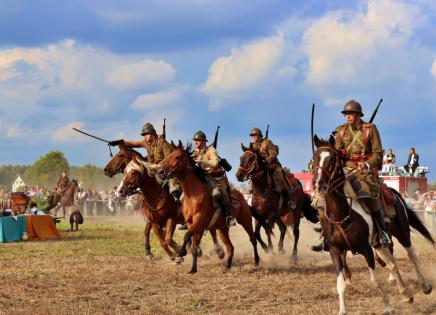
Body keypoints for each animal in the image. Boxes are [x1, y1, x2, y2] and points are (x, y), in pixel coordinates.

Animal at [158, 142, 262, 276]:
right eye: (168, 156)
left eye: (177, 157)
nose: (160, 172)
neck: (193, 194)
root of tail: (243, 198)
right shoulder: (192, 224)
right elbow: (194, 245)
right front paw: (193, 269)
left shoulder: (198, 221)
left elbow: (187, 236)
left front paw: (181, 254)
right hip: (222, 229)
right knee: (230, 247)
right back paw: (227, 267)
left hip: (246, 221)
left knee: (253, 239)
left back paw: (257, 262)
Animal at [312, 136, 414, 315]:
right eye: (315, 158)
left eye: (332, 159)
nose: (319, 184)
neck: (342, 215)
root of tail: (394, 193)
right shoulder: (335, 250)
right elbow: (340, 284)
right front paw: (342, 310)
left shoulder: (366, 249)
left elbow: (376, 280)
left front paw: (387, 307)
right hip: (380, 245)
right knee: (392, 265)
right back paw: (404, 294)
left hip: (402, 234)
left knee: (410, 255)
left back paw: (425, 286)